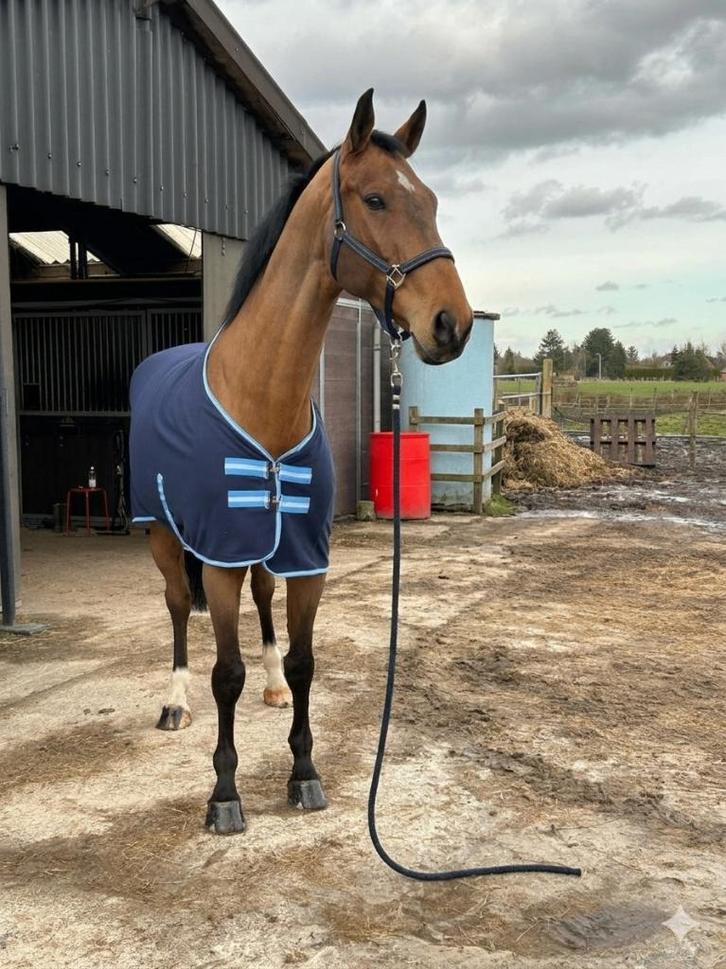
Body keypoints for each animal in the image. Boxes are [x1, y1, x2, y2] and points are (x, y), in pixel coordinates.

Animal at [129, 89, 473, 835]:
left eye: (432, 201)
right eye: (375, 199)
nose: (452, 324)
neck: (264, 394)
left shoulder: (308, 556)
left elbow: (305, 660)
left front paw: (304, 771)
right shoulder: (220, 557)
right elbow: (222, 671)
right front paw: (225, 794)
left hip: (265, 548)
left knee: (262, 602)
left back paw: (270, 688)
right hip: (164, 535)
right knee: (176, 610)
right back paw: (175, 703)